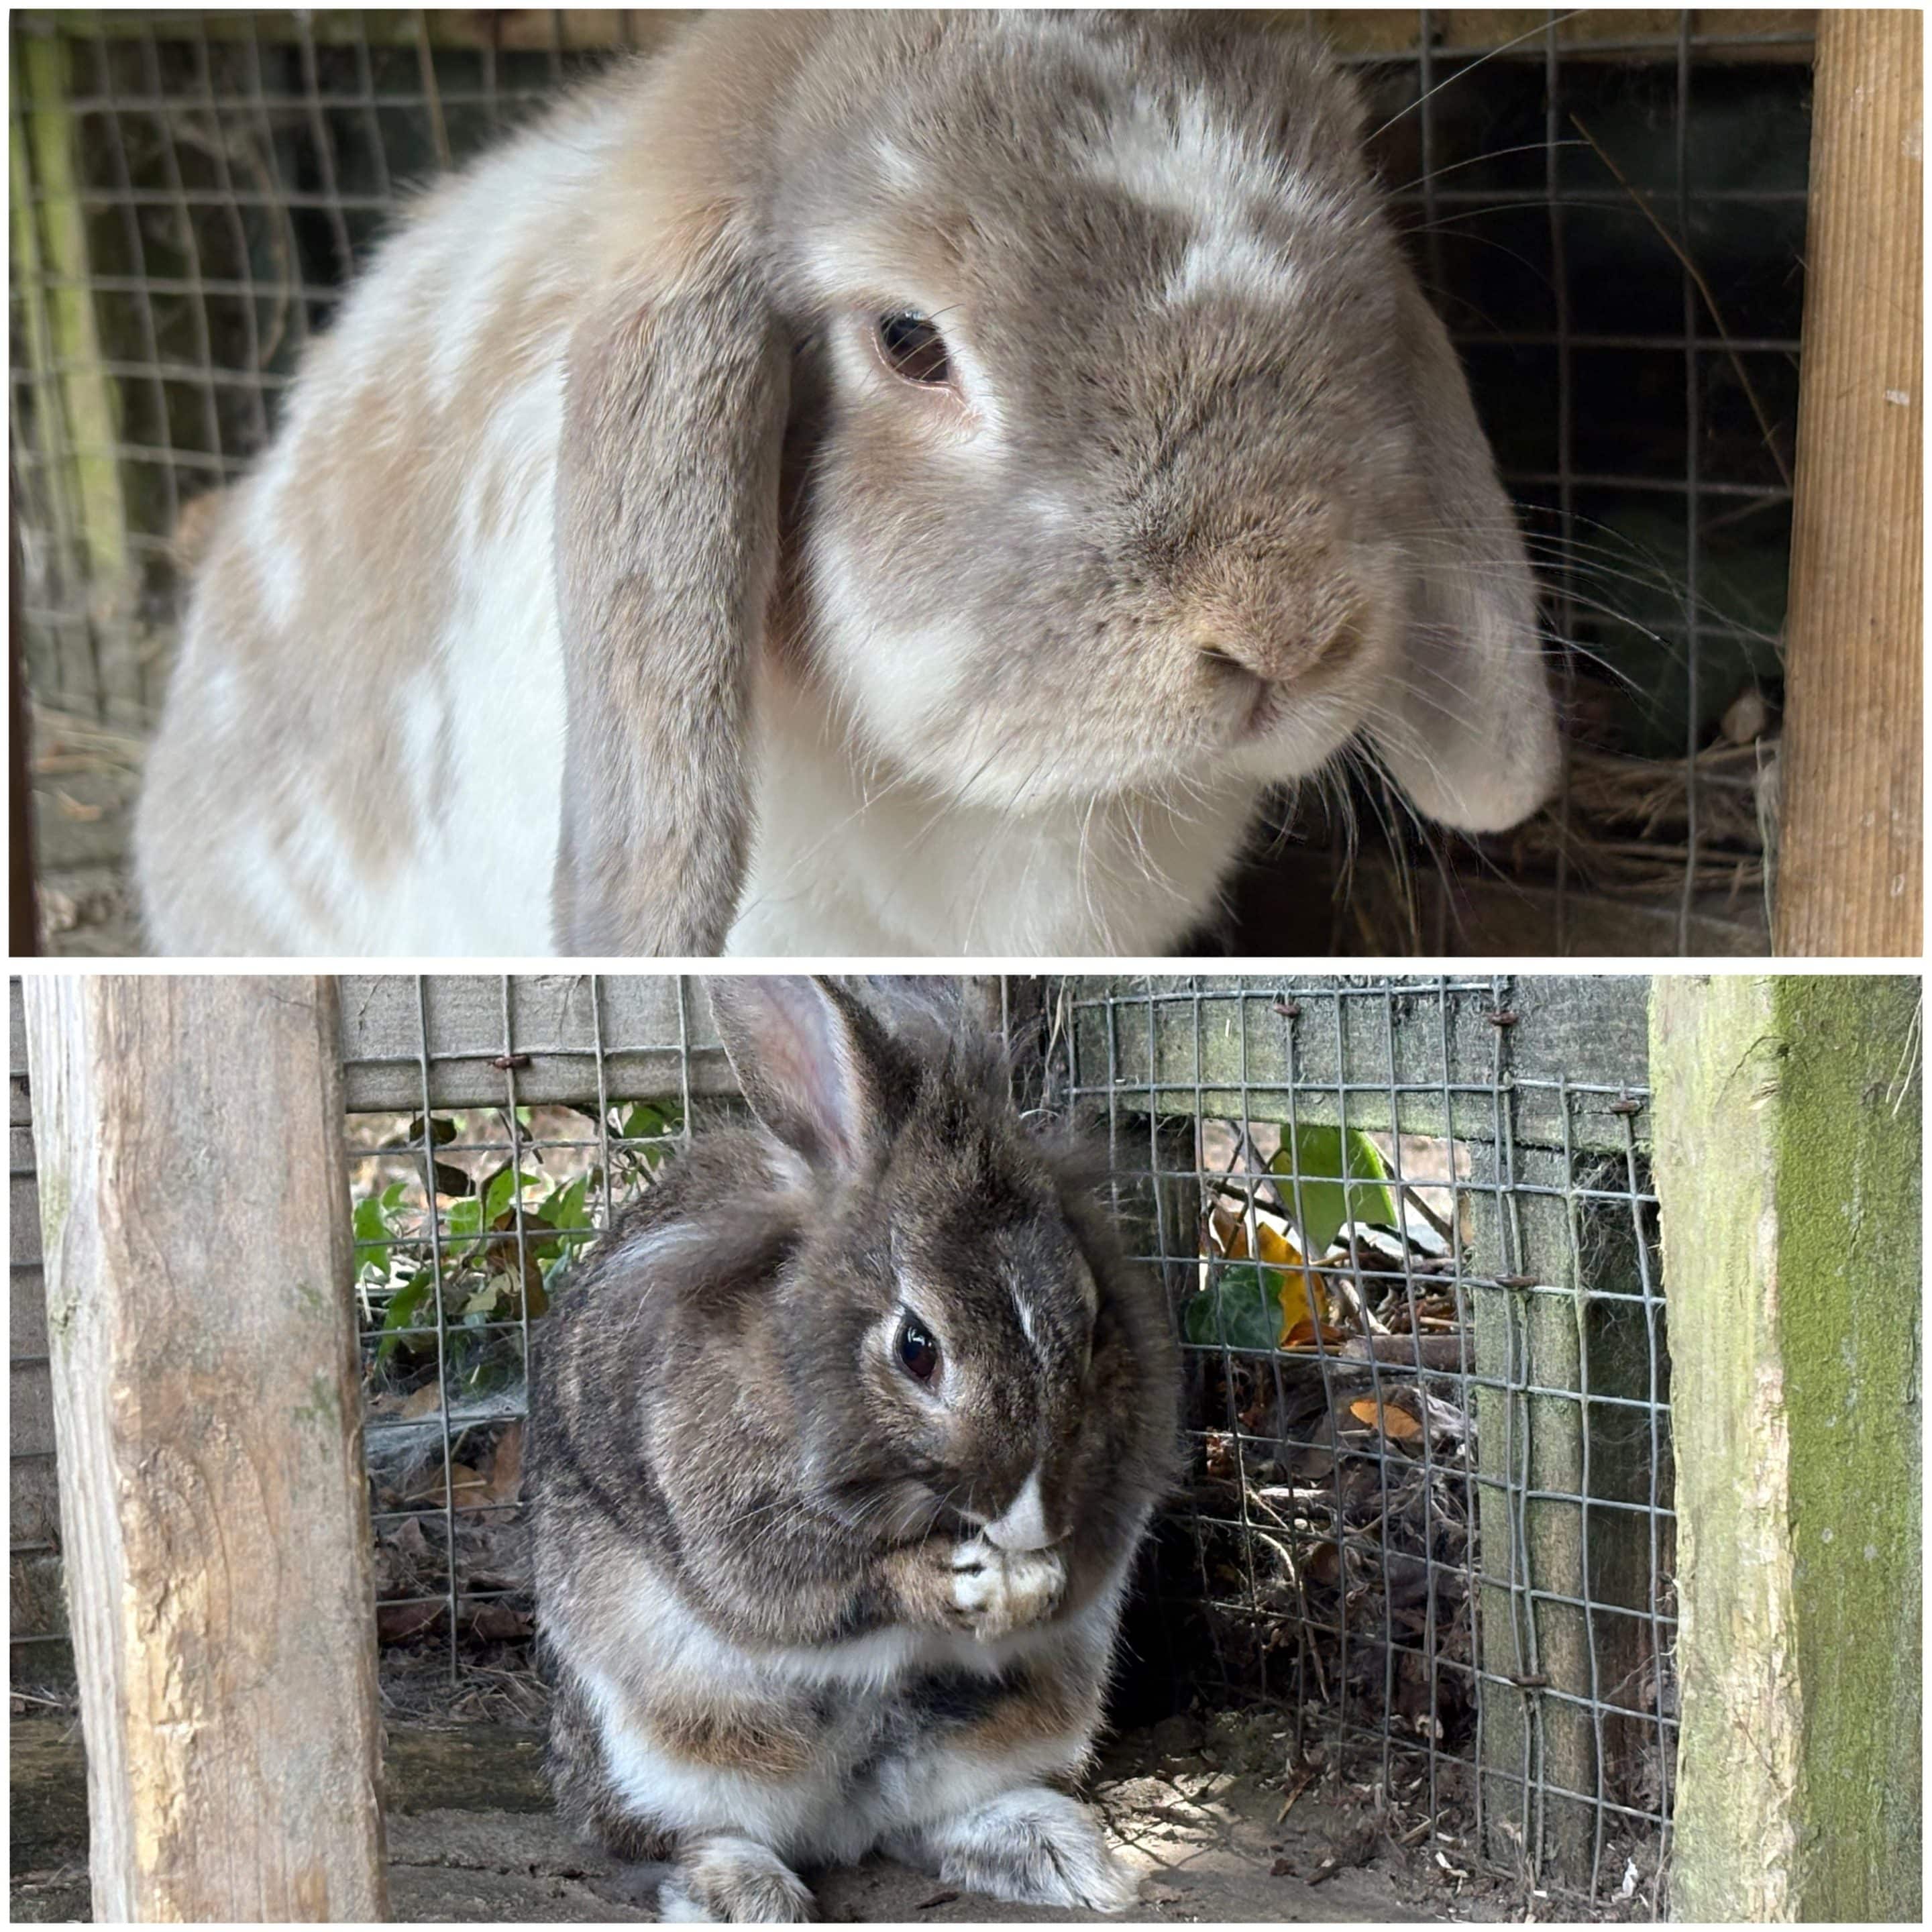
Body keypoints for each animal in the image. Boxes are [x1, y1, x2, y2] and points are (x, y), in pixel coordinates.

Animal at [526, 975, 1182, 1919]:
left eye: (1095, 1326)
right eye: (917, 1348)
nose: (1026, 1518)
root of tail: (839, 1821)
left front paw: (1033, 1588)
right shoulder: (732, 1523)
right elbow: (804, 1588)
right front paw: (954, 1582)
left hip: (1025, 1717)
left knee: (929, 1821)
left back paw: (1054, 1857)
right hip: (660, 1739)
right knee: (666, 1833)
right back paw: (745, 1895)